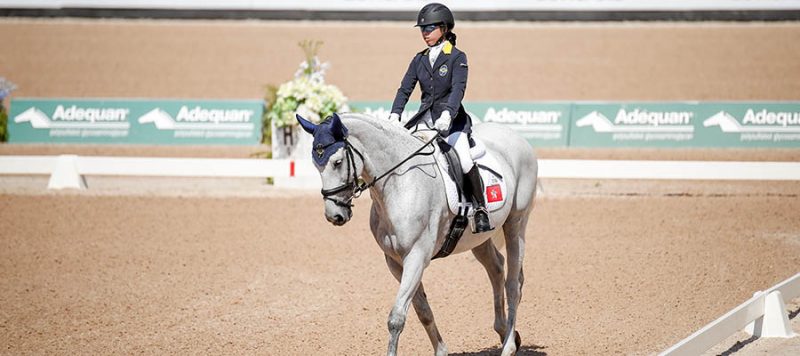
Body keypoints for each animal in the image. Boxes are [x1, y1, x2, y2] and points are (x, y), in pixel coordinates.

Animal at [294, 113, 536, 356]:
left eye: (337, 162)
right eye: (316, 164)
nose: (334, 215)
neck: (399, 184)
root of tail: (515, 136)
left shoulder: (416, 257)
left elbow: (396, 318)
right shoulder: (395, 261)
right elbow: (423, 311)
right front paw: (441, 351)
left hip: (516, 224)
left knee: (513, 284)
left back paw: (508, 346)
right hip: (478, 238)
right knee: (496, 268)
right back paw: (506, 332)